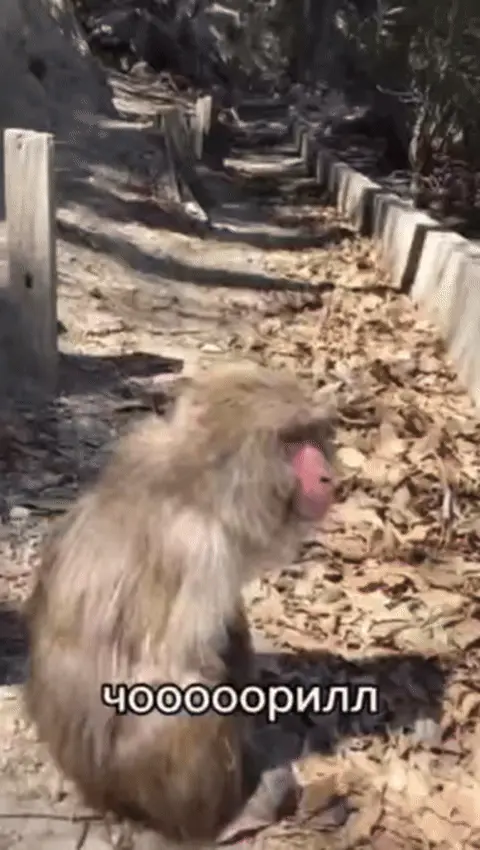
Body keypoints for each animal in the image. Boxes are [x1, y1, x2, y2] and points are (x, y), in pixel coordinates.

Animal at [24, 362, 336, 848]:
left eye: (314, 435)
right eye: (291, 440)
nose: (325, 476)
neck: (195, 486)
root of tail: (93, 792)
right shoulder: (200, 549)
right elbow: (178, 675)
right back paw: (221, 820)